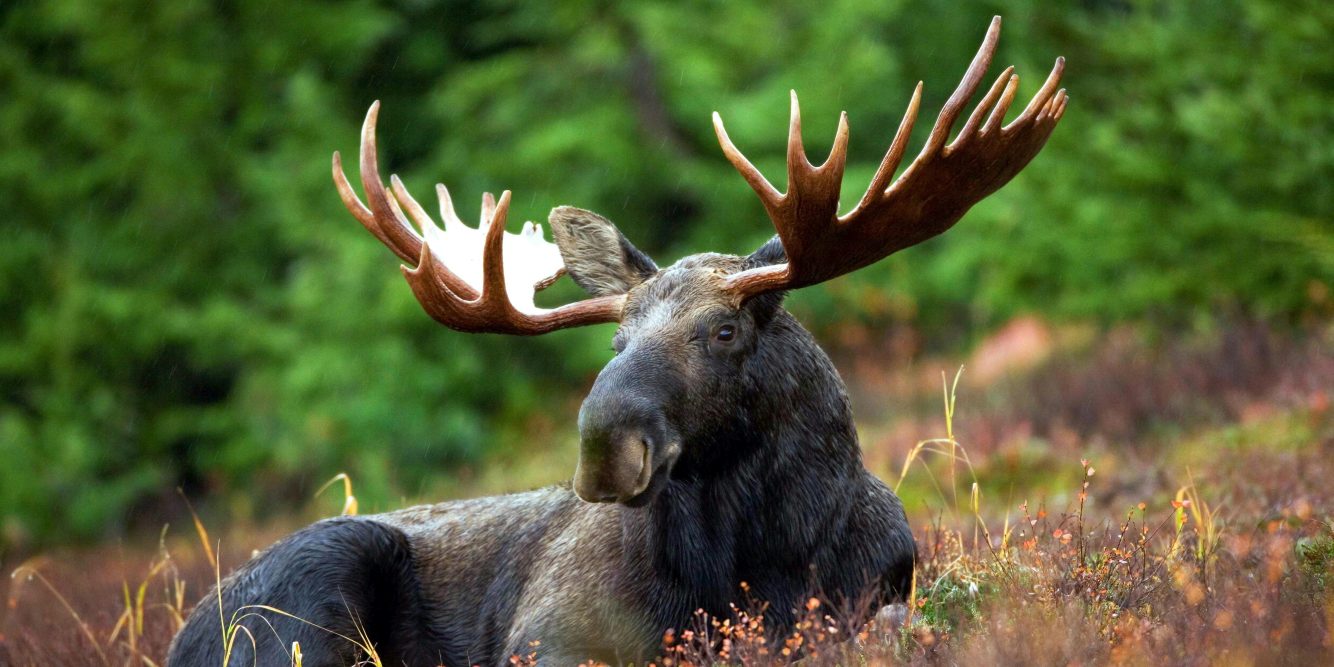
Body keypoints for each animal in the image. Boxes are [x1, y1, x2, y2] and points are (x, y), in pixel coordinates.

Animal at [168, 17, 1065, 666]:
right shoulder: (548, 636)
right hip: (311, 587)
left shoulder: (880, 596)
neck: (758, 564)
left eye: (724, 328)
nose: (605, 445)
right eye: (614, 341)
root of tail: (182, 634)